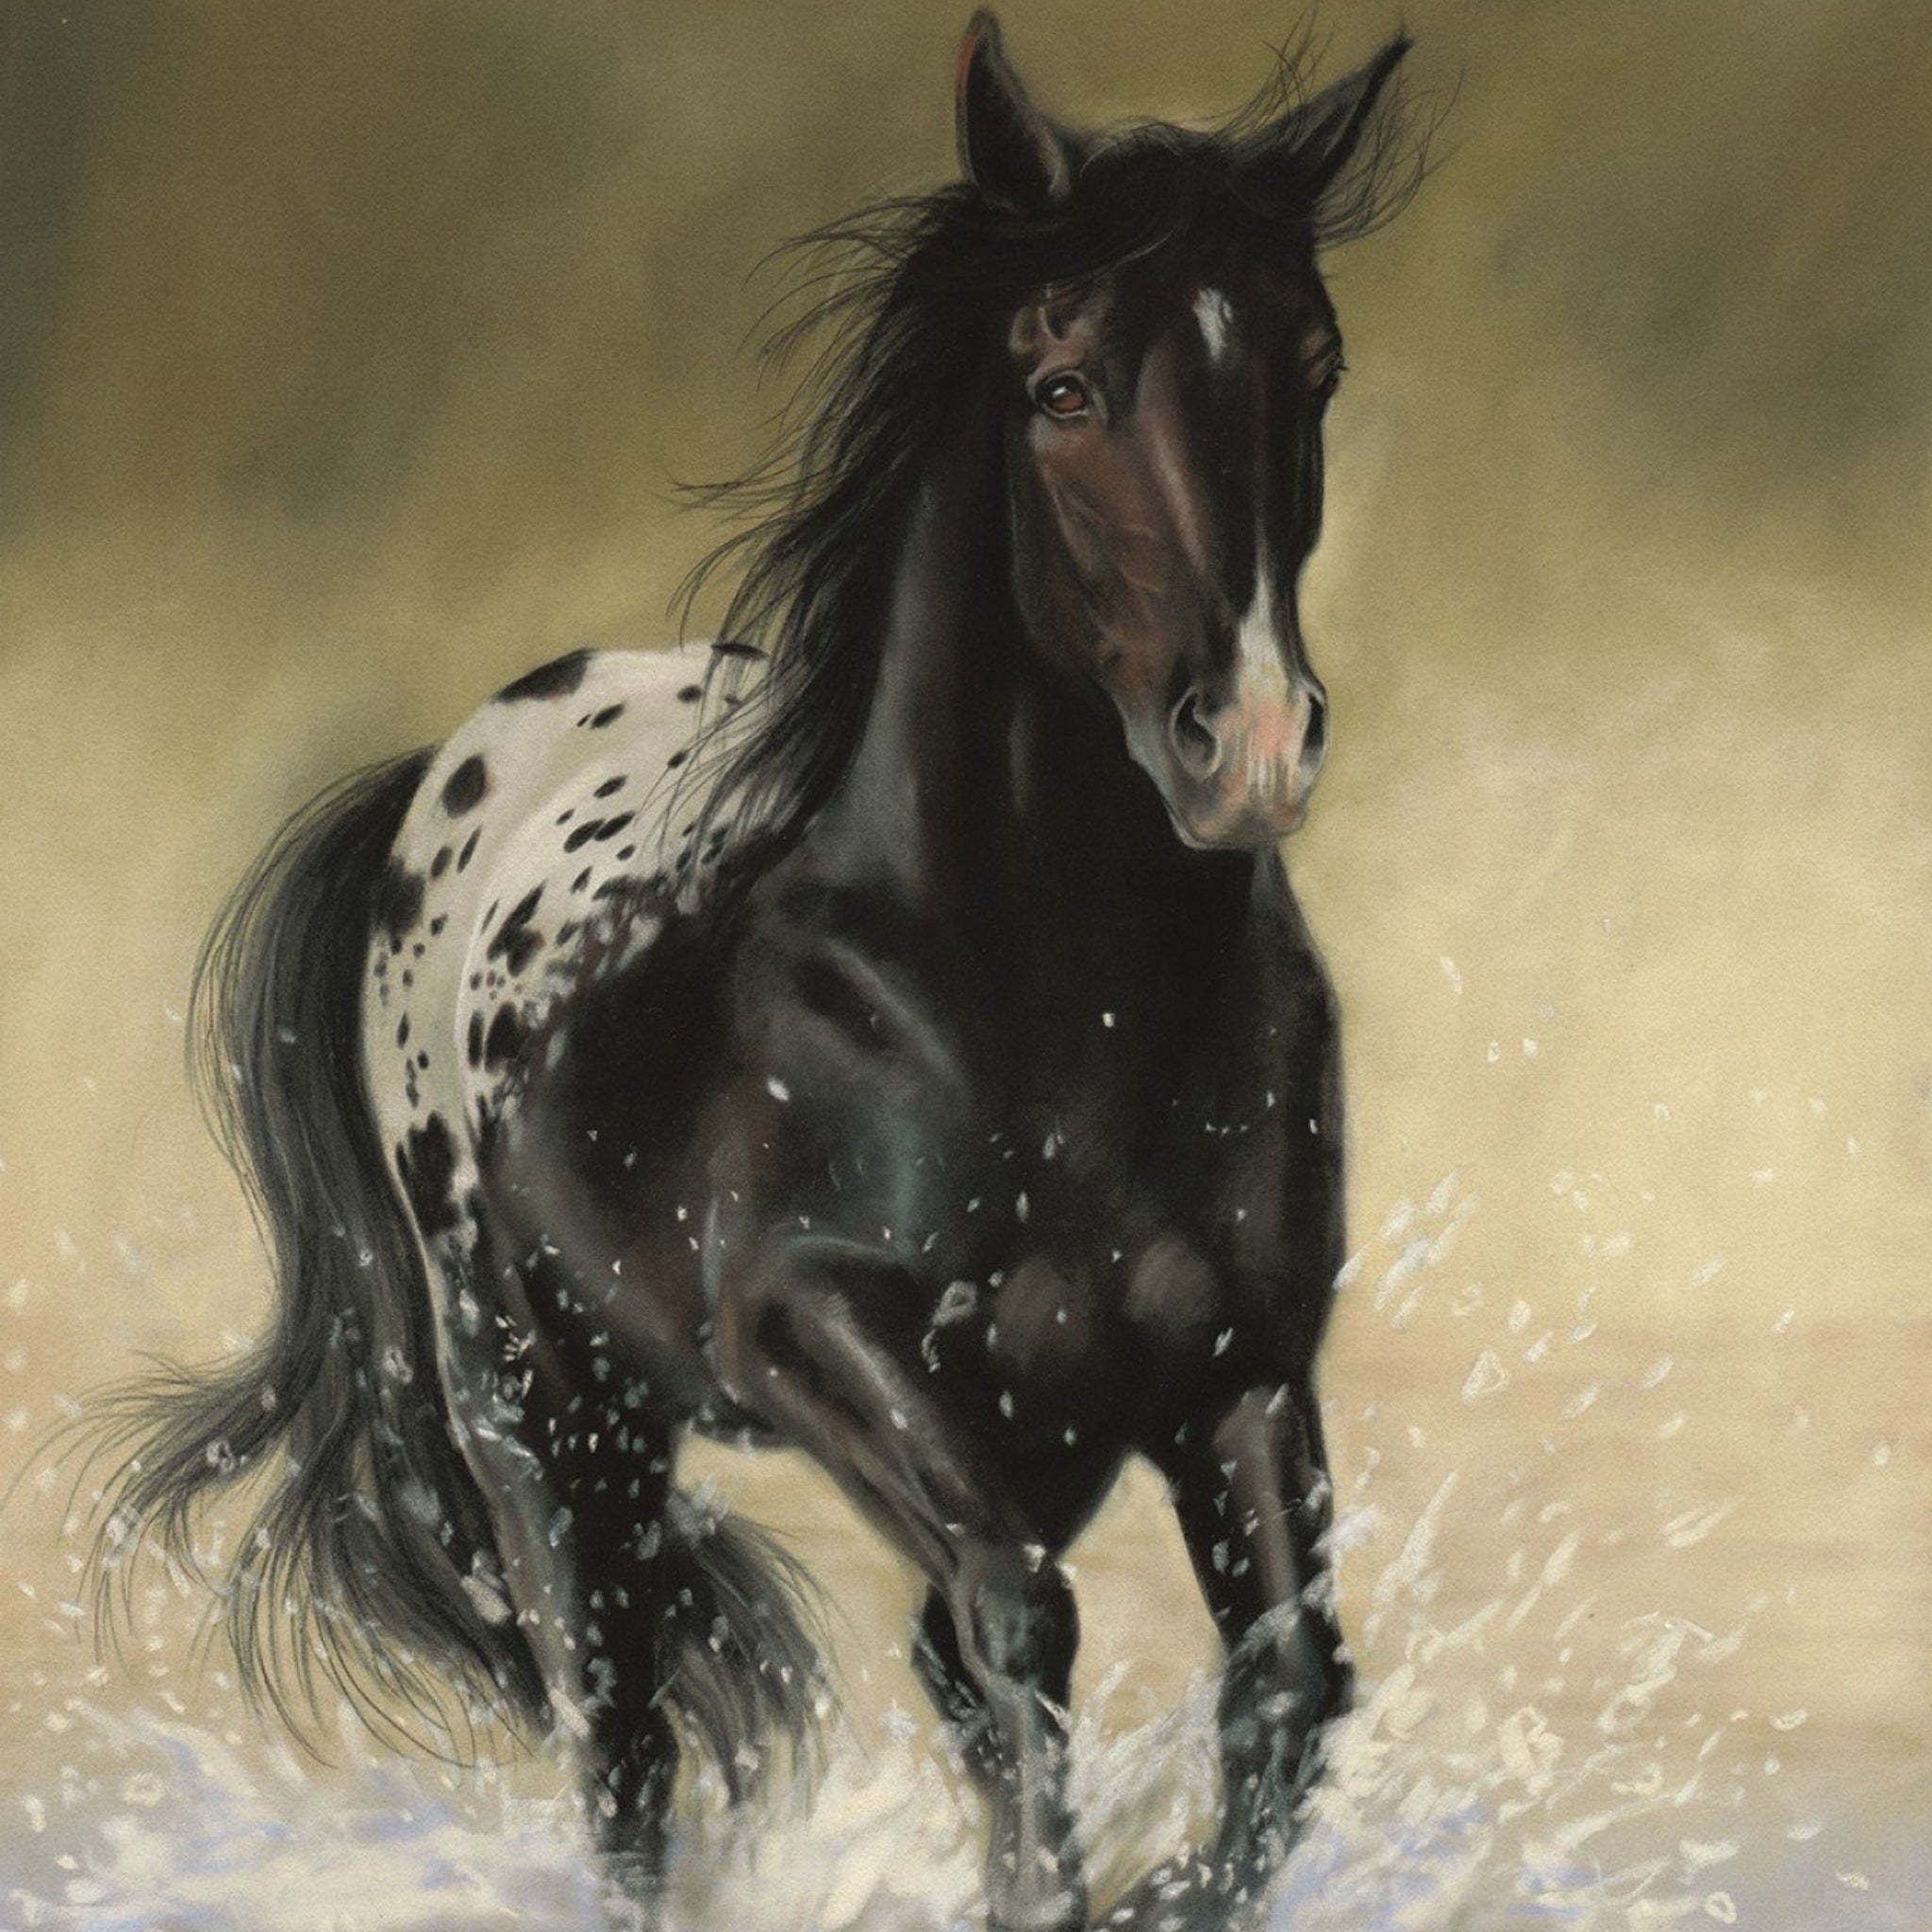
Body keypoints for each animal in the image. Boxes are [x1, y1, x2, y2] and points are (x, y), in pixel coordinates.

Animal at [94, 15, 1421, 1929]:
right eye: (1064, 388)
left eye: (1315, 366)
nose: (1246, 745)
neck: (1051, 1012)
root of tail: (447, 770)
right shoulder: (812, 1333)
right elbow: (1021, 1625)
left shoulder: (1239, 1374)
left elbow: (1284, 1688)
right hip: (548, 1424)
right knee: (625, 1739)